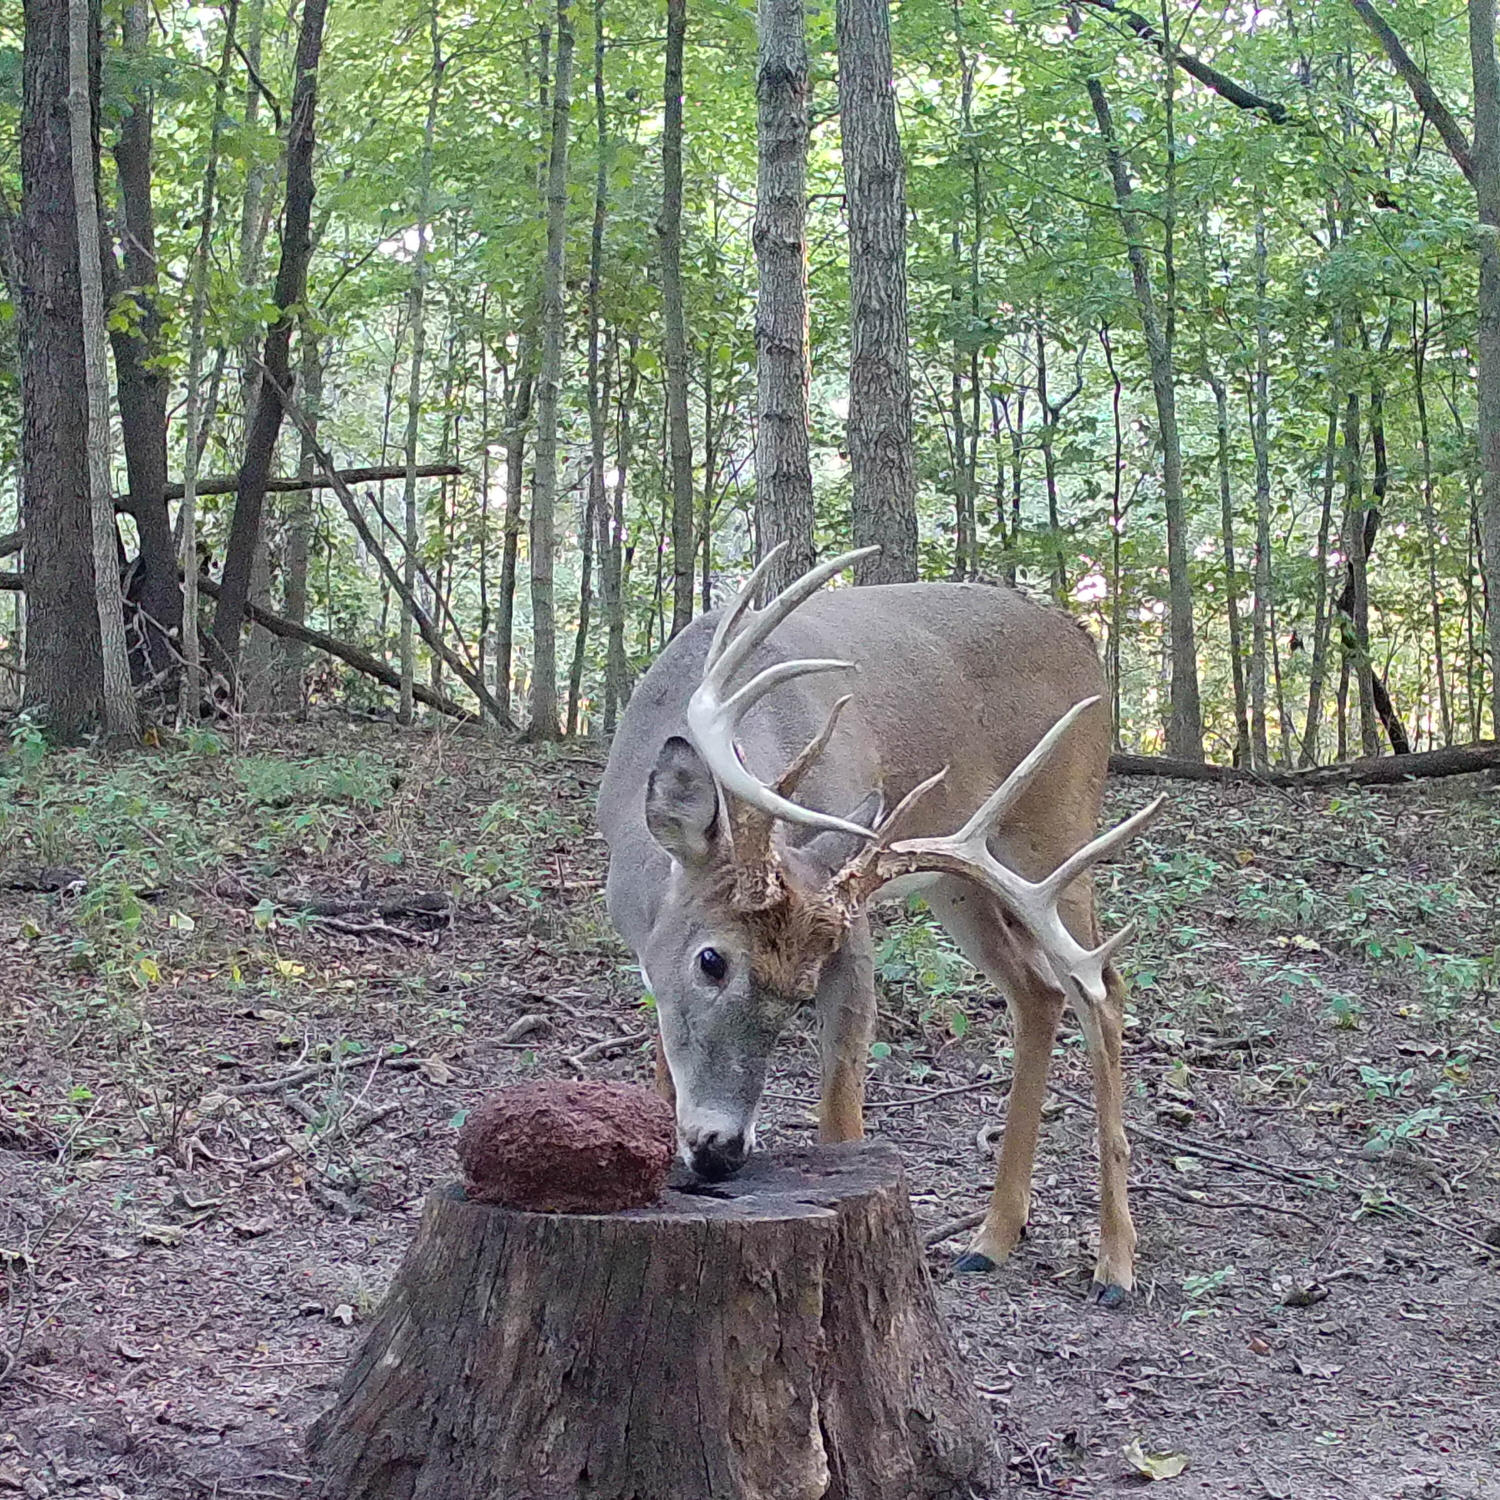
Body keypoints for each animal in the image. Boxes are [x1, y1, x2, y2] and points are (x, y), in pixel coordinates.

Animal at [594, 549, 1158, 1302]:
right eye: (711, 960)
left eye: (803, 991)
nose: (721, 1153)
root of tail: (1080, 636)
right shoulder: (651, 955)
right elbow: (662, 1068)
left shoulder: (850, 924)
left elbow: (841, 1115)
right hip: (960, 880)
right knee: (1036, 992)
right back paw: (991, 1238)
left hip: (1056, 832)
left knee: (1103, 990)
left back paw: (1115, 1262)